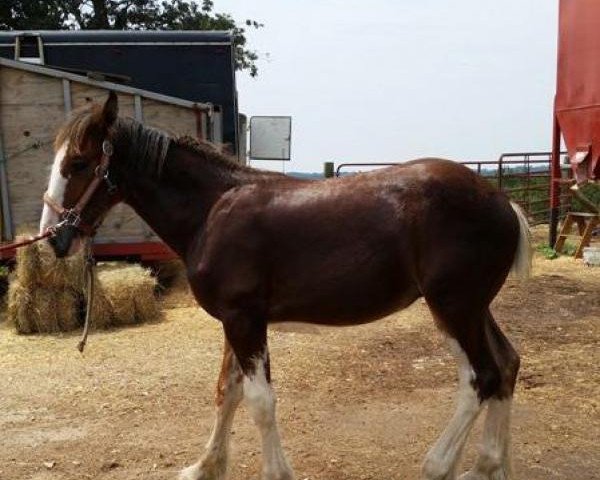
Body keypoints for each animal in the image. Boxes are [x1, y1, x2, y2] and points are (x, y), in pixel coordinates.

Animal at [41, 92, 528, 478]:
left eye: (79, 163)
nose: (54, 238)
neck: (211, 211)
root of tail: (504, 203)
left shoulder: (245, 320)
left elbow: (259, 402)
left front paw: (273, 471)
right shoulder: (233, 322)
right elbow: (227, 392)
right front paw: (205, 467)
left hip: (453, 306)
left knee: (481, 377)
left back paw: (439, 465)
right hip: (474, 308)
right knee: (506, 365)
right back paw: (488, 466)